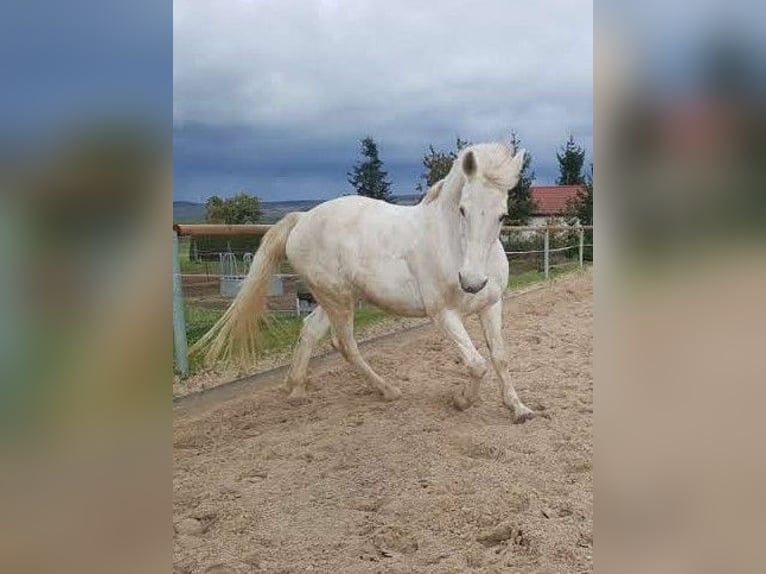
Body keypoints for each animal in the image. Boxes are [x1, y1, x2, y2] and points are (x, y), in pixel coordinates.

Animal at [194, 144, 536, 424]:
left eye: (502, 215)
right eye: (463, 209)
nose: (472, 282)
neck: (451, 243)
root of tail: (302, 219)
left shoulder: (491, 305)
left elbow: (500, 356)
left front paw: (518, 409)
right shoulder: (443, 314)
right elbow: (476, 364)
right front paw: (461, 401)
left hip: (335, 297)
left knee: (310, 330)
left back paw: (296, 390)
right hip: (338, 300)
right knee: (344, 344)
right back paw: (387, 390)